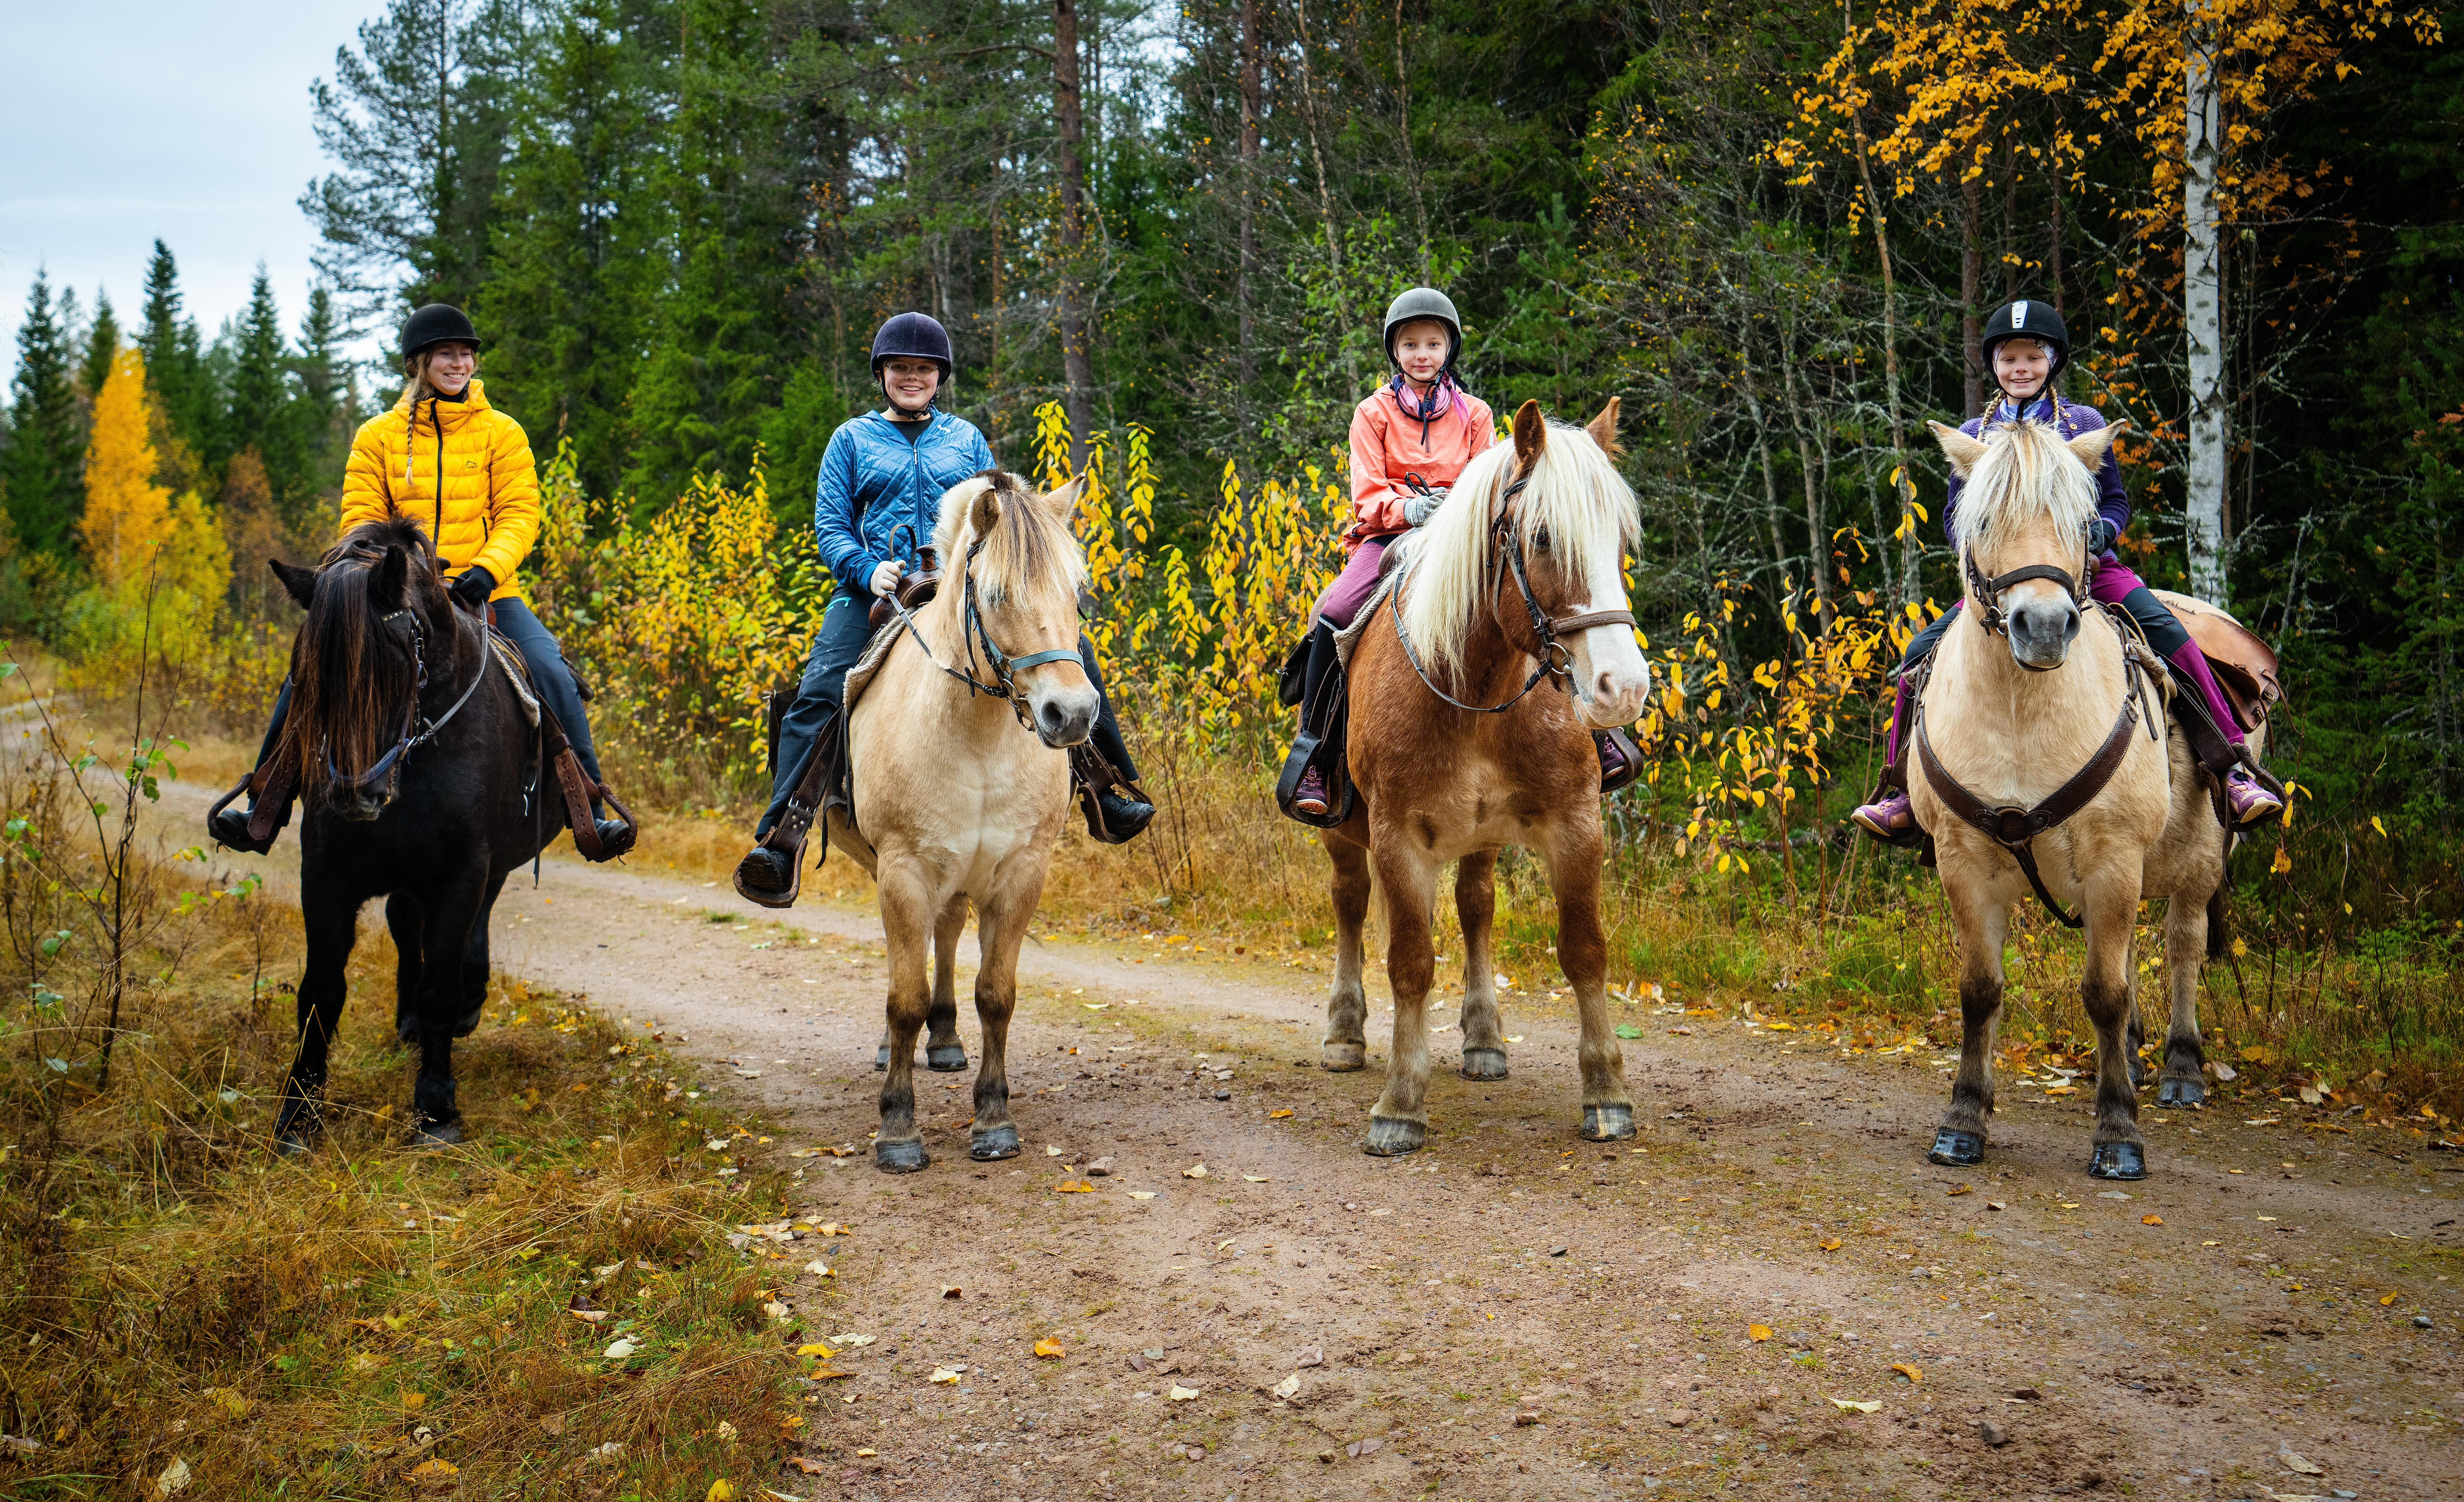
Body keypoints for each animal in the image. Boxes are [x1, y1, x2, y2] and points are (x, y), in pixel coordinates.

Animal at [264, 516, 567, 1149]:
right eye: (306, 671)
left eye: (401, 661)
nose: (355, 793)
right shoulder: (324, 876)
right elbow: (321, 990)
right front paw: (299, 1116)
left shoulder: (463, 872)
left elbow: (440, 985)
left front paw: (436, 1108)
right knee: (407, 927)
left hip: (487, 867)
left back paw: (467, 1005)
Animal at [822, 470, 1097, 1173]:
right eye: (996, 593)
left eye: (1077, 593)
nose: (1072, 714)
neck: (976, 736)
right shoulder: (902, 870)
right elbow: (904, 998)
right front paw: (897, 1129)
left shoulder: (1021, 871)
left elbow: (995, 994)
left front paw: (994, 1120)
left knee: (944, 936)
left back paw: (945, 1041)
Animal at [1320, 399, 1655, 1155]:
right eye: (1542, 537)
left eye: (1622, 539)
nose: (1621, 688)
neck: (1474, 689)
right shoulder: (1396, 839)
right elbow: (1410, 963)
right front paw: (1399, 1104)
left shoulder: (1576, 827)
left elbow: (1584, 951)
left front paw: (1607, 1092)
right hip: (1341, 835)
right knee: (1350, 904)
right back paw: (1344, 1032)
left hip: (1481, 839)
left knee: (1475, 907)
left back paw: (1483, 1041)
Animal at [1909, 416, 2256, 1180]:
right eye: (1983, 519)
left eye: (2080, 520)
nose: (2042, 627)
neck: (2021, 713)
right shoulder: (1964, 862)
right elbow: (1981, 991)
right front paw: (1962, 1121)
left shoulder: (2112, 858)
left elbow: (2103, 992)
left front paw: (2118, 1134)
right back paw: (2130, 1055)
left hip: (2196, 862)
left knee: (2182, 945)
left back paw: (2180, 1069)